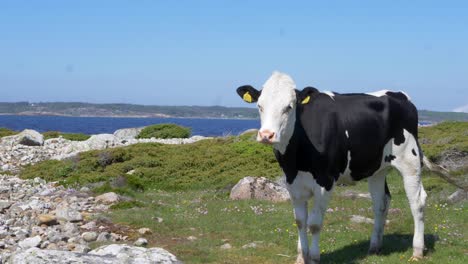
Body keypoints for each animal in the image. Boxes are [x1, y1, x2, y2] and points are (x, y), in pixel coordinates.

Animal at [236, 71, 426, 262]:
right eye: (260, 106)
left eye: (288, 107)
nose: (266, 135)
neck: (296, 158)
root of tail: (400, 95)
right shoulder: (292, 182)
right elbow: (300, 221)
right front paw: (301, 257)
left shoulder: (325, 181)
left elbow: (314, 224)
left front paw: (314, 258)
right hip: (377, 169)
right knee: (381, 202)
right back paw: (374, 247)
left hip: (410, 159)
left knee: (417, 201)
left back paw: (417, 251)